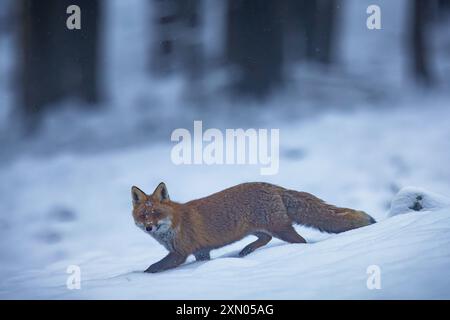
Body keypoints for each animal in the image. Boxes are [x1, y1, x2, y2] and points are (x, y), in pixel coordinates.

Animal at [131, 182, 376, 272]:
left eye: (156, 213)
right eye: (143, 215)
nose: (149, 227)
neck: (174, 224)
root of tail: (274, 186)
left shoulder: (180, 254)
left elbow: (153, 268)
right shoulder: (201, 251)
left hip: (281, 229)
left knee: (301, 241)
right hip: (259, 229)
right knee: (265, 239)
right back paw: (246, 251)